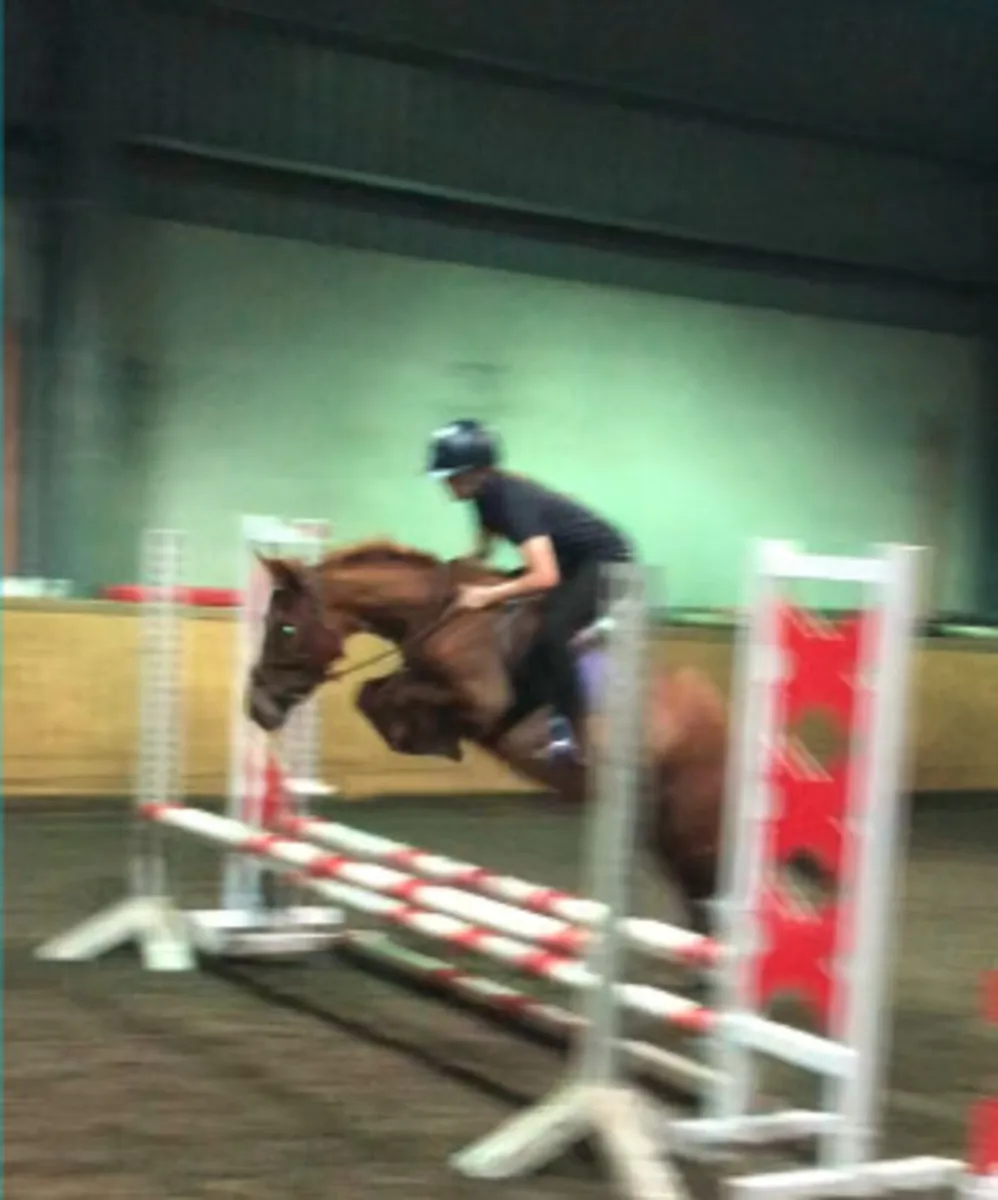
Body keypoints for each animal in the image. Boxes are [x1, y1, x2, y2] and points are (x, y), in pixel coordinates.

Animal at [245, 538, 728, 936]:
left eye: (285, 628)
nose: (257, 707)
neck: (446, 616)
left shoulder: (481, 702)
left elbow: (389, 694)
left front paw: (430, 738)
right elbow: (372, 694)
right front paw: (420, 737)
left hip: (681, 824)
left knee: (705, 893)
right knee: (701, 896)